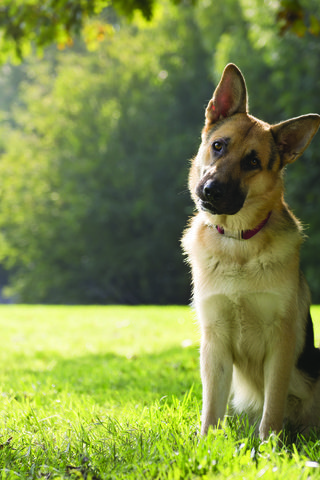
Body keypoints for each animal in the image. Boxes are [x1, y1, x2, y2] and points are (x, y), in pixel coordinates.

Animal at [181, 62, 320, 438]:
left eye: (253, 162)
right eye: (218, 146)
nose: (210, 191)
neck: (237, 243)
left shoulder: (281, 343)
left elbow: (272, 406)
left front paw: (269, 444)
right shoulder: (214, 342)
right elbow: (211, 408)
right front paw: (206, 443)